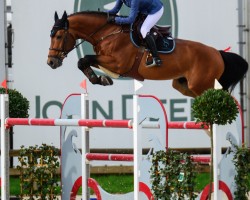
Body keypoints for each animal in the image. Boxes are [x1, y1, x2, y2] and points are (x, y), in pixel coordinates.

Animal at [47, 10, 248, 97]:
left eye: (58, 36)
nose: (51, 62)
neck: (108, 33)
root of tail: (218, 53)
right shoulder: (106, 61)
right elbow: (84, 61)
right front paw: (101, 79)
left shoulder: (118, 63)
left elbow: (85, 59)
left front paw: (101, 79)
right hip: (184, 85)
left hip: (202, 85)